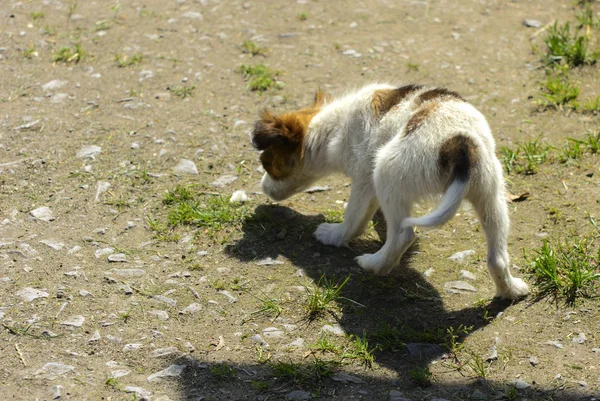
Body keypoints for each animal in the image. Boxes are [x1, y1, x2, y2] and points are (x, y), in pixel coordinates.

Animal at [251, 83, 528, 298]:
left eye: (267, 163)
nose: (262, 188)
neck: (332, 127)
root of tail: (459, 141)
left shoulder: (364, 179)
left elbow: (353, 219)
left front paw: (334, 235)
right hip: (490, 192)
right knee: (497, 257)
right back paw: (510, 291)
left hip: (385, 173)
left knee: (403, 234)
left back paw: (374, 264)